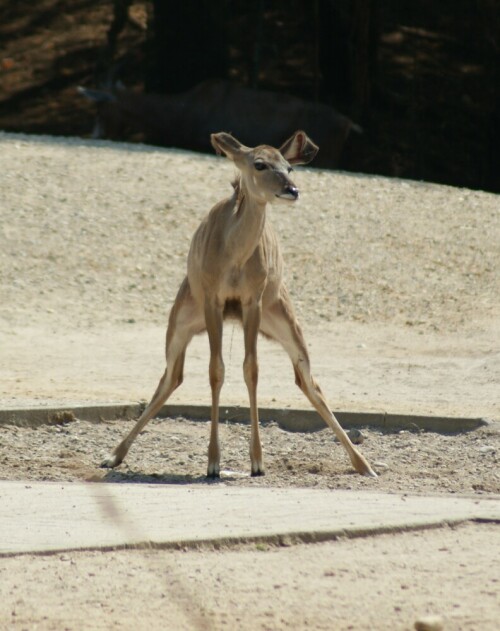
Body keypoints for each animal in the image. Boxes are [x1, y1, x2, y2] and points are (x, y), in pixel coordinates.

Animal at [101, 132, 376, 478]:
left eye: (288, 167)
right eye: (260, 164)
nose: (292, 190)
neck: (233, 256)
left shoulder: (252, 301)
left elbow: (251, 369)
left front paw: (257, 462)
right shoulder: (213, 301)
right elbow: (216, 370)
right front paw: (213, 463)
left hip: (284, 321)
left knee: (308, 380)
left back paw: (365, 464)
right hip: (180, 322)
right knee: (170, 377)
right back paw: (112, 455)